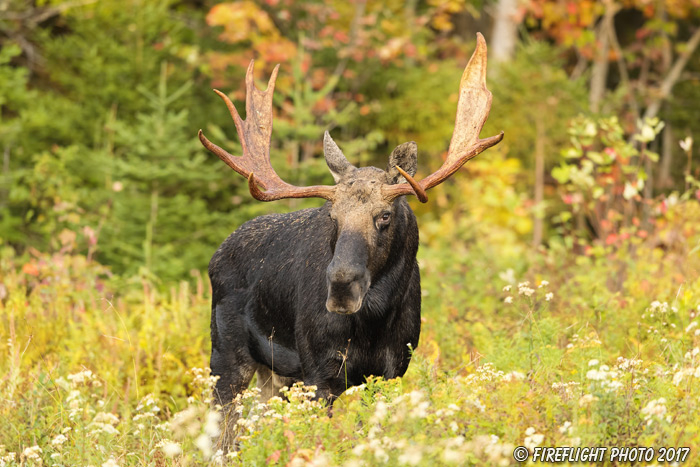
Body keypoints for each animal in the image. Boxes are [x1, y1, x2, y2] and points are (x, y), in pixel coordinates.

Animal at [198, 33, 504, 436]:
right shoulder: (318, 373)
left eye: (385, 215)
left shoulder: (391, 372)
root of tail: (217, 253)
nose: (342, 286)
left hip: (276, 374)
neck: (375, 321)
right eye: (333, 217)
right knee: (224, 430)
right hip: (226, 354)